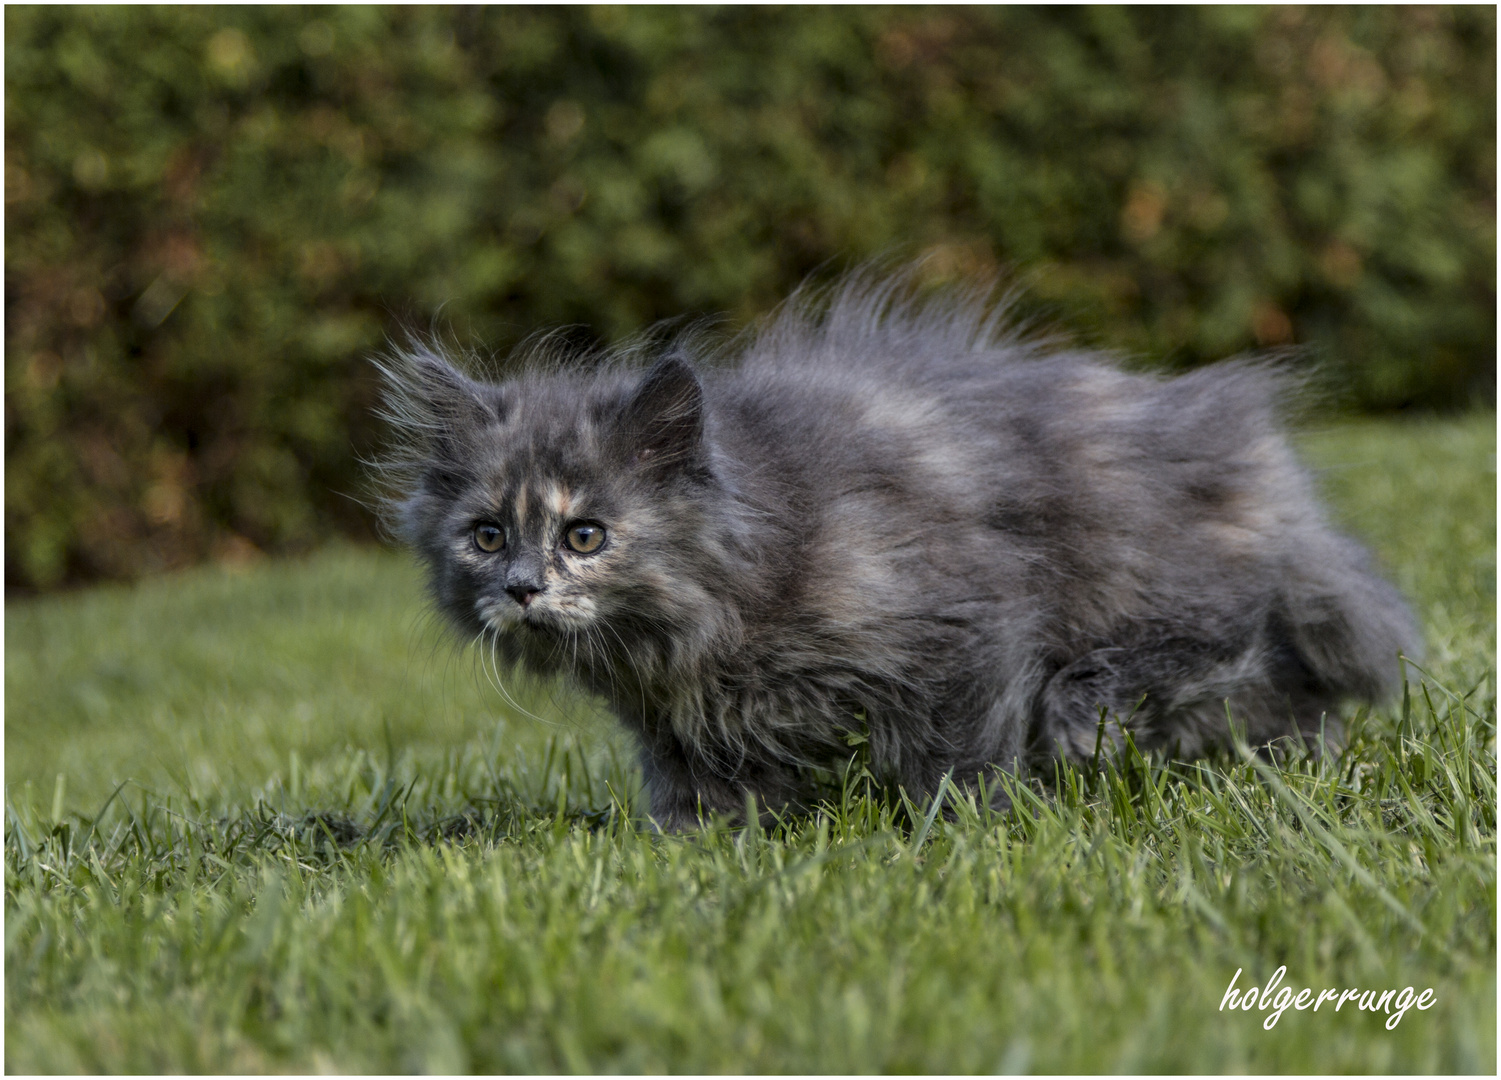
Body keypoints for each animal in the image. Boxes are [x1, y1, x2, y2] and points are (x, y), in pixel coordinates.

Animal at [378, 271, 1416, 828]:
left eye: (585, 534)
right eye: (486, 536)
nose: (522, 588)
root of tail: (1271, 475)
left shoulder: (962, 626)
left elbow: (952, 757)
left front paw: (958, 833)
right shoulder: (675, 721)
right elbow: (701, 790)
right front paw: (698, 848)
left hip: (1156, 580)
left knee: (1236, 643)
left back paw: (1091, 717)